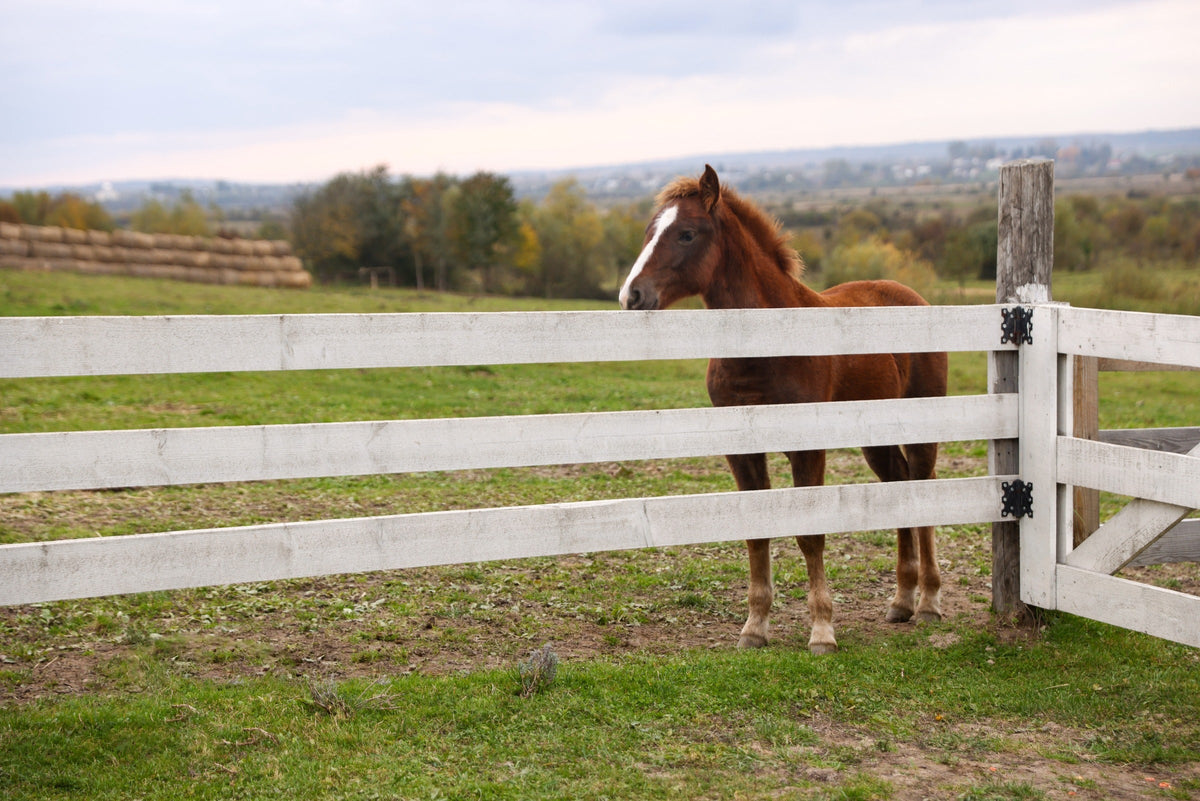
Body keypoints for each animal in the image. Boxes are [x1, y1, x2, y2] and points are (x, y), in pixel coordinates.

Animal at [619, 165, 948, 654]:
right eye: (648, 231)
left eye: (687, 234)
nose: (632, 295)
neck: (766, 345)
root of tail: (913, 296)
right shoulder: (743, 451)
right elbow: (758, 531)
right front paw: (754, 627)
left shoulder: (808, 448)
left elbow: (810, 534)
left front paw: (823, 631)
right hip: (875, 438)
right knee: (900, 485)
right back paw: (901, 601)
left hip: (921, 426)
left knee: (922, 490)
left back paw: (927, 603)